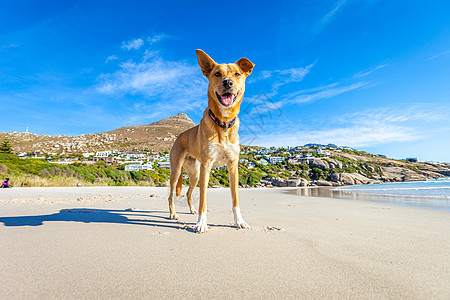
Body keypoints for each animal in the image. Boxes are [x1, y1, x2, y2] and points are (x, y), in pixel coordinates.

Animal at [168, 49, 255, 233]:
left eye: (237, 74)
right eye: (217, 74)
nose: (228, 83)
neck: (223, 123)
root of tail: (179, 136)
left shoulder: (232, 166)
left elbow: (235, 199)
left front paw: (239, 221)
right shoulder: (206, 166)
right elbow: (203, 200)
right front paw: (201, 223)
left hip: (194, 172)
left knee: (188, 193)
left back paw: (191, 210)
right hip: (177, 170)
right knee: (171, 195)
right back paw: (173, 214)